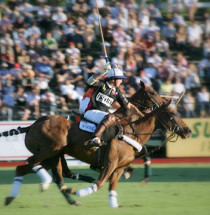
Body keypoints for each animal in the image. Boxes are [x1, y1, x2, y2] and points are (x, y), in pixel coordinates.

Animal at [1, 82, 191, 207]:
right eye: (172, 113)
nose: (188, 130)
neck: (132, 128)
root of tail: (33, 124)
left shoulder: (119, 165)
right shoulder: (110, 162)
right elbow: (101, 182)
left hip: (53, 156)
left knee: (31, 169)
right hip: (50, 150)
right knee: (34, 163)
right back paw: (49, 184)